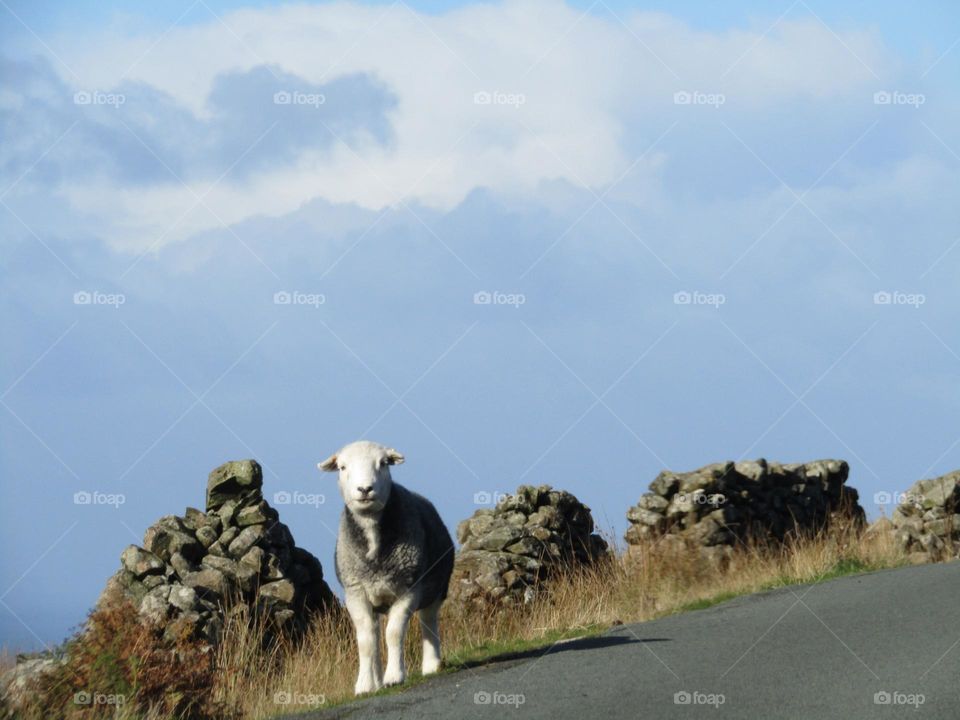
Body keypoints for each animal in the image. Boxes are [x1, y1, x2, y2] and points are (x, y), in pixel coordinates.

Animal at [318, 438, 454, 692]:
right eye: (342, 467)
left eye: (383, 463)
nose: (364, 489)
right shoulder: (355, 593)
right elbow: (366, 641)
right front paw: (364, 685)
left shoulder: (408, 589)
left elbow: (394, 633)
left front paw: (395, 676)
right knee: (373, 632)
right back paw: (376, 680)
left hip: (436, 588)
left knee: (428, 621)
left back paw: (431, 665)